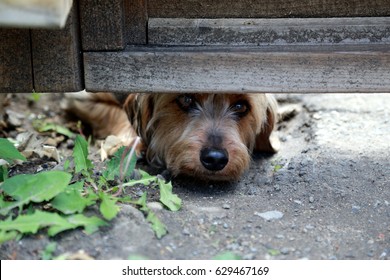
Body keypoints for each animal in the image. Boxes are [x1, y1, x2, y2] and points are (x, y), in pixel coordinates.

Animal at [64, 92, 278, 182]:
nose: (215, 159)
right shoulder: (83, 98)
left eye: (241, 106)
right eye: (186, 99)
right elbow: (116, 113)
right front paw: (127, 143)